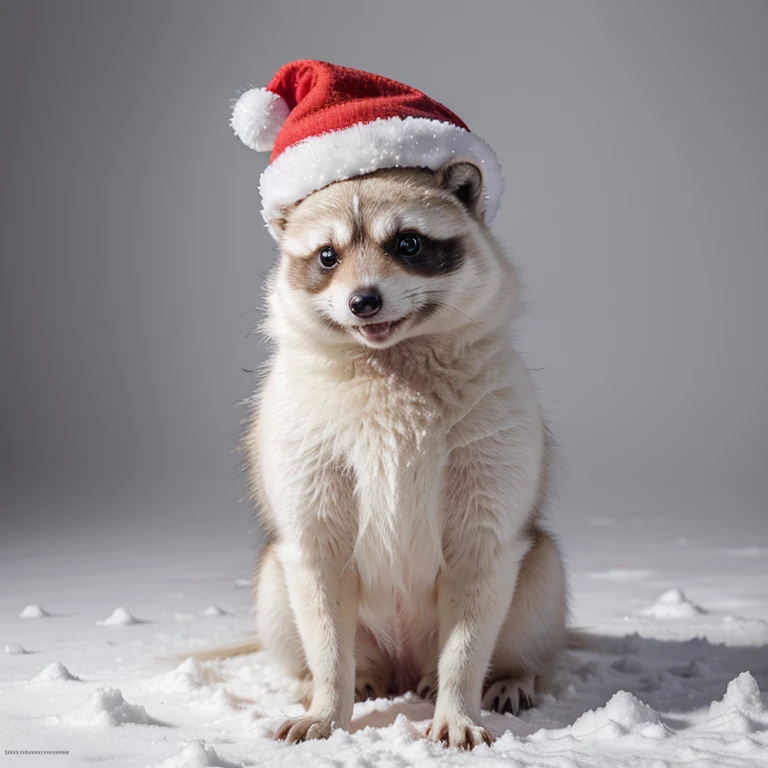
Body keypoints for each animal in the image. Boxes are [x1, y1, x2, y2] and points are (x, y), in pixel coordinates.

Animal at [242, 164, 568, 752]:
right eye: (327, 256)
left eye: (408, 244)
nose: (363, 302)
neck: (389, 362)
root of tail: (404, 668)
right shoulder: (310, 459)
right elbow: (321, 602)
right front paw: (328, 704)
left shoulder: (491, 465)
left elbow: (473, 615)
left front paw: (457, 705)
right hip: (276, 581)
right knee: (287, 594)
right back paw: (331, 677)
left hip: (537, 577)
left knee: (537, 583)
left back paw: (511, 674)